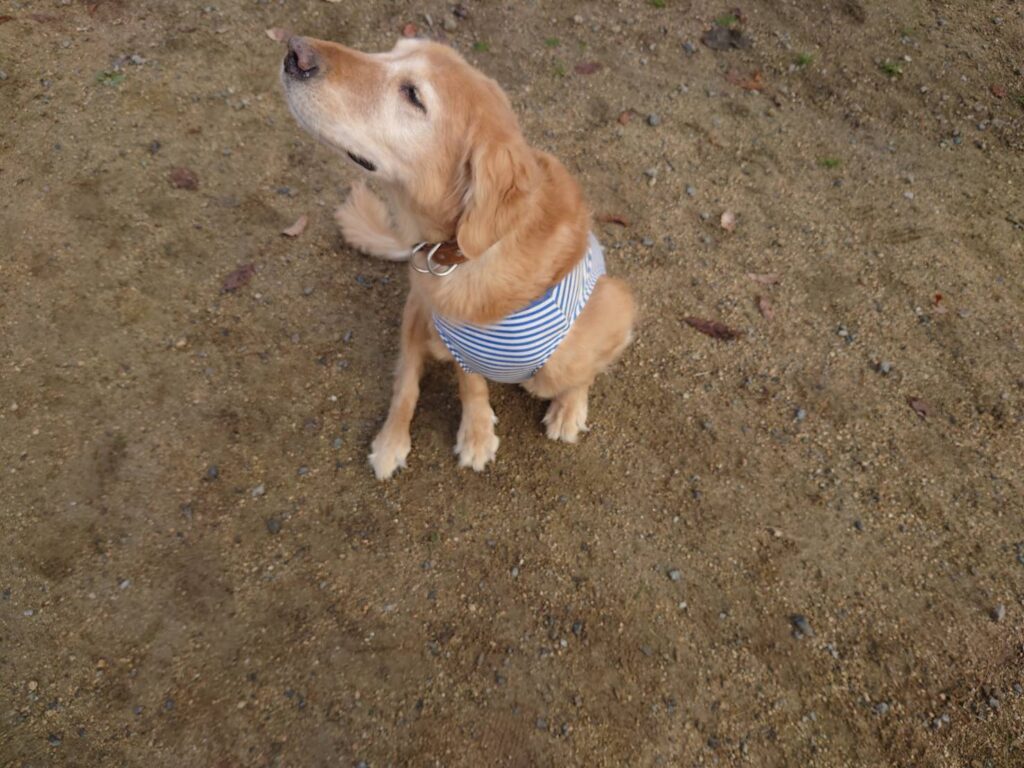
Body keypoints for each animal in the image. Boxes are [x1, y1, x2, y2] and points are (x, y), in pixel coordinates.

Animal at [279, 34, 635, 480]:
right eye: (390, 50)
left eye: (413, 95)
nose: (294, 52)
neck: (462, 253)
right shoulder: (457, 342)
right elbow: (470, 384)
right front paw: (477, 433)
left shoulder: (609, 312)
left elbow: (582, 371)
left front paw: (569, 407)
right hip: (416, 315)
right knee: (405, 383)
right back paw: (391, 441)